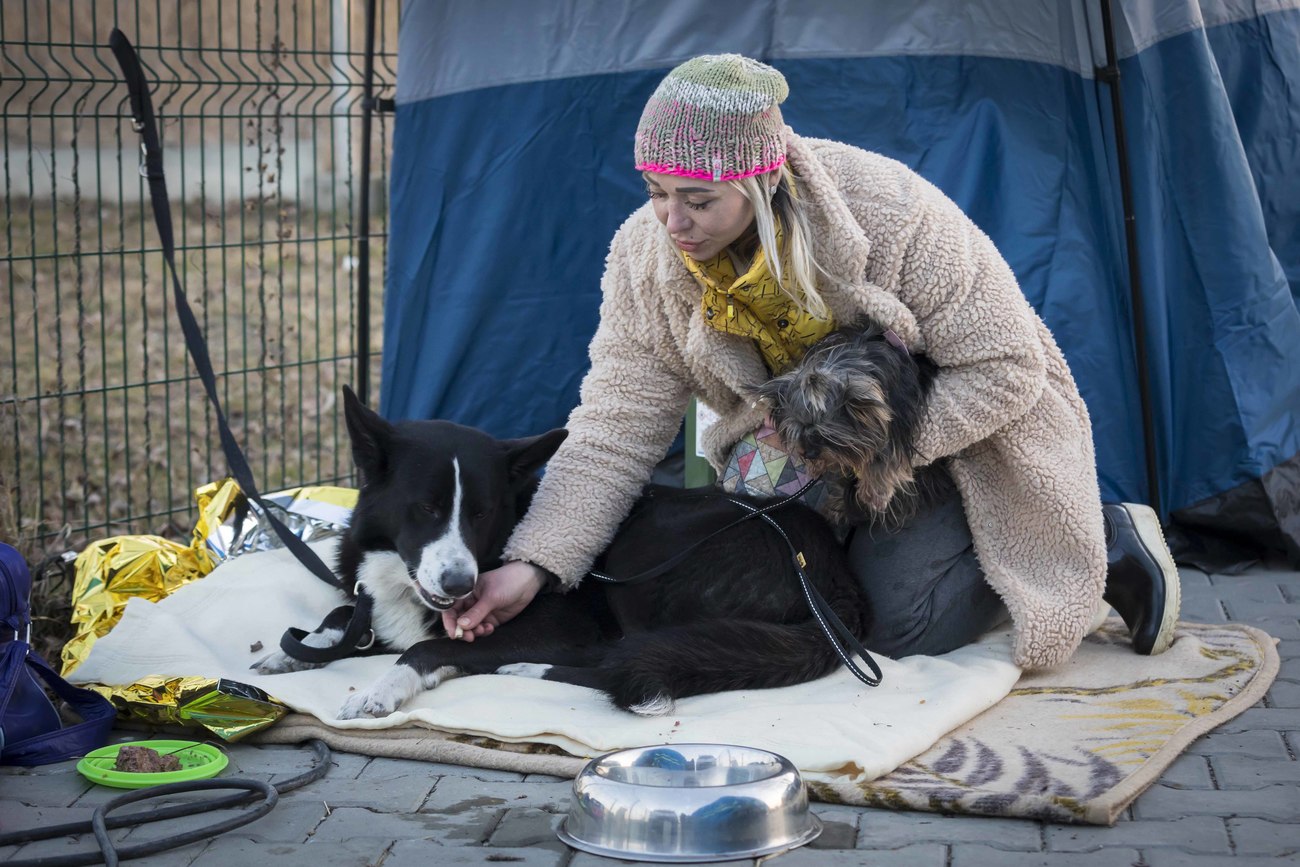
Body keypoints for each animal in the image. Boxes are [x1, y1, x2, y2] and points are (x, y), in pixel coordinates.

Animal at [253, 322, 925, 717]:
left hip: (648, 572)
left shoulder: (555, 624)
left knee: (628, 664)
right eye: (426, 508)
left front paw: (379, 688)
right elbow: (345, 618)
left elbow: (420, 649)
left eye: (482, 512)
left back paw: (529, 667)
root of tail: (831, 582)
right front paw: (300, 650)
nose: (460, 585)